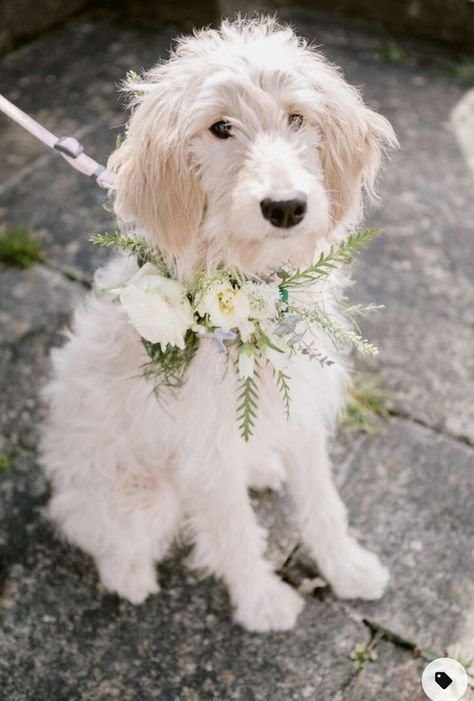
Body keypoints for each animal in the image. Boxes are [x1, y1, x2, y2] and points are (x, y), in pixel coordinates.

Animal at [39, 16, 396, 632]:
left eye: (296, 117)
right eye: (221, 127)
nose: (286, 207)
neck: (255, 287)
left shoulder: (302, 410)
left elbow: (323, 504)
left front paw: (348, 570)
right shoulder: (205, 451)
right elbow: (233, 530)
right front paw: (261, 602)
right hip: (139, 495)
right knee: (95, 531)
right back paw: (129, 578)